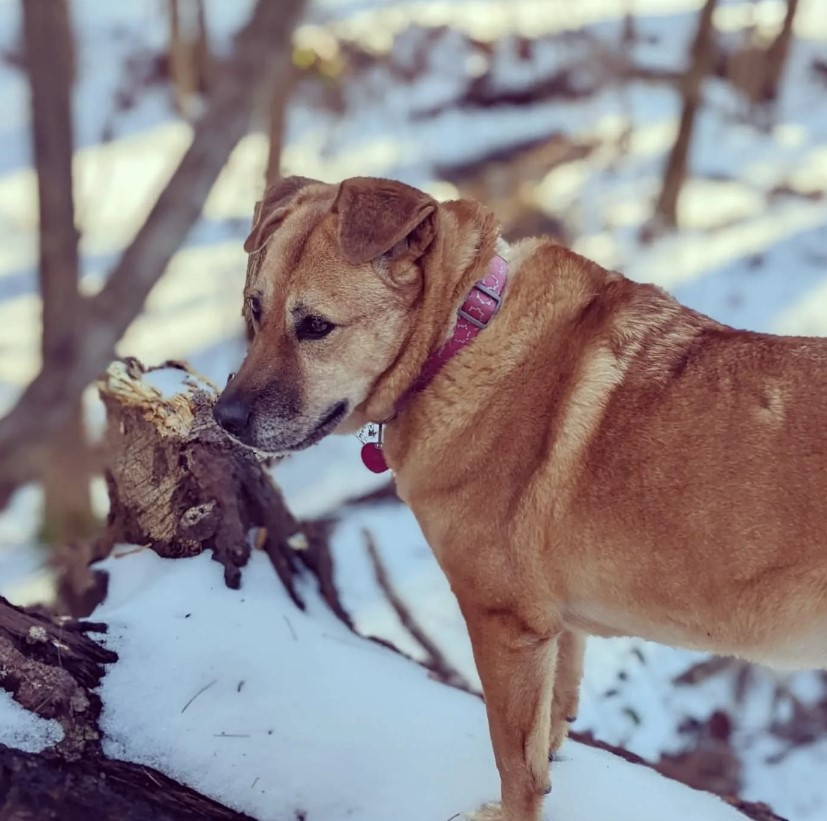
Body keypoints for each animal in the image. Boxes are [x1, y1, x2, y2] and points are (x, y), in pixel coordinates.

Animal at [212, 175, 827, 820]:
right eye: (255, 308)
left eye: (315, 327)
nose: (224, 417)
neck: (460, 333)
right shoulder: (554, 626)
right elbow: (553, 720)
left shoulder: (503, 623)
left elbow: (514, 761)